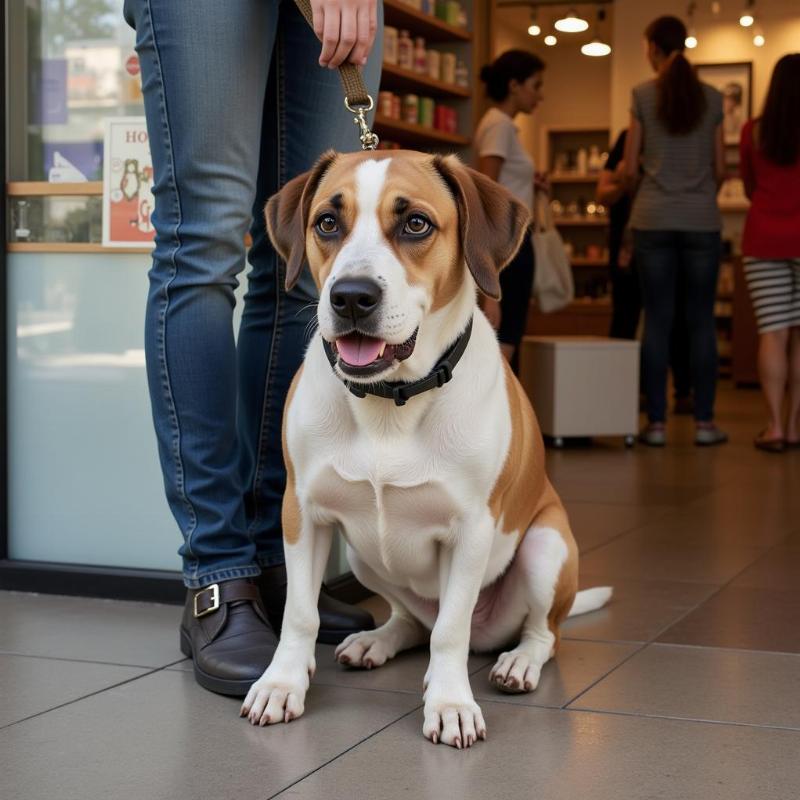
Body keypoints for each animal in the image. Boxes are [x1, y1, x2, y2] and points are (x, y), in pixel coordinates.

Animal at [241, 147, 608, 748]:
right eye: (327, 222)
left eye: (415, 224)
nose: (351, 297)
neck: (391, 400)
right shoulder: (303, 513)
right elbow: (300, 613)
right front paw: (281, 683)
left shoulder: (473, 529)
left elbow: (451, 632)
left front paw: (451, 702)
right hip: (363, 558)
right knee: (414, 621)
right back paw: (379, 640)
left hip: (545, 546)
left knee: (537, 632)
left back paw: (517, 662)